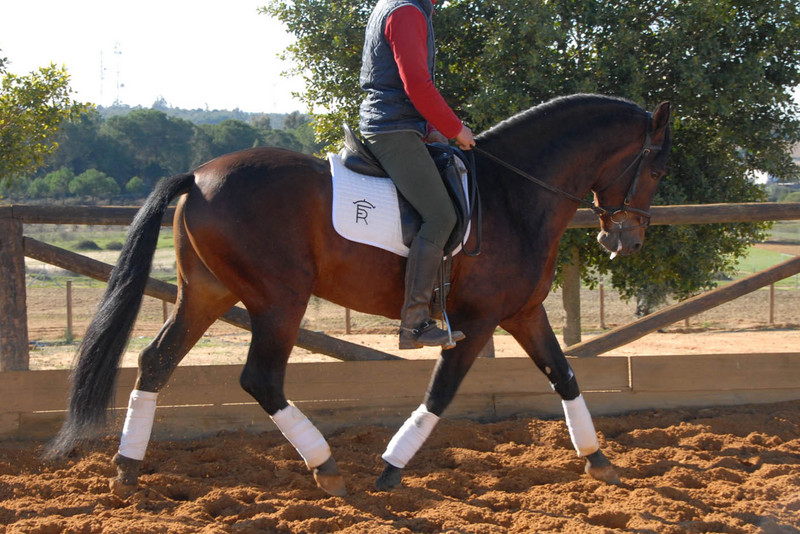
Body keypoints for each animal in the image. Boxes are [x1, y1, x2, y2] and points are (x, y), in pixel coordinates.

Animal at [47, 94, 671, 498]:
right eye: (656, 170)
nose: (628, 239)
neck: (514, 193)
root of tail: (197, 176)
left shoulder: (523, 312)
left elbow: (564, 376)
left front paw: (599, 461)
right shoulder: (476, 321)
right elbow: (441, 394)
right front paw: (391, 469)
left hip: (207, 293)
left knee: (157, 361)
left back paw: (127, 468)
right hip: (279, 301)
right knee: (260, 379)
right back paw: (325, 467)